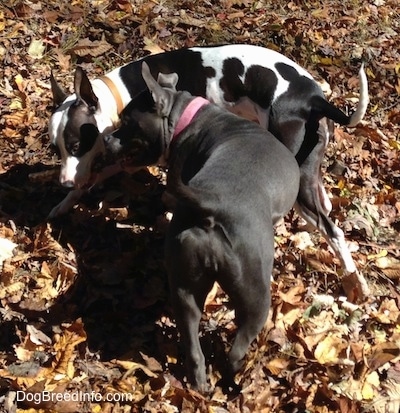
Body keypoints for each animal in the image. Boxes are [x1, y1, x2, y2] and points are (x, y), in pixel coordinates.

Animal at [49, 44, 368, 296]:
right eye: (56, 148)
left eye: (76, 144)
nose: (63, 183)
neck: (118, 94)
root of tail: (315, 98)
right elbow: (92, 177)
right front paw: (62, 204)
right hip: (306, 166)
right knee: (324, 204)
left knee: (333, 230)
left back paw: (354, 281)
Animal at [106, 61, 300, 390]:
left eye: (128, 122)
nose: (106, 138)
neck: (183, 115)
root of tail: (214, 204)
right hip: (256, 293)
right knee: (238, 346)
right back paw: (234, 377)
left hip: (184, 284)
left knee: (192, 340)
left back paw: (199, 383)